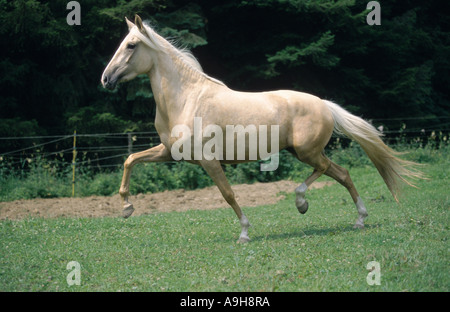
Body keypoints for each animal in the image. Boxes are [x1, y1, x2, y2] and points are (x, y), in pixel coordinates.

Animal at [102, 15, 422, 243]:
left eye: (131, 45)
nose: (106, 78)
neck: (187, 99)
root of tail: (324, 103)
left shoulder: (209, 160)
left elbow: (228, 194)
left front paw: (244, 233)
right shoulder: (170, 152)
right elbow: (130, 160)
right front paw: (127, 208)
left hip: (306, 152)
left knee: (330, 171)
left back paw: (307, 204)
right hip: (300, 151)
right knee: (341, 173)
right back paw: (356, 218)